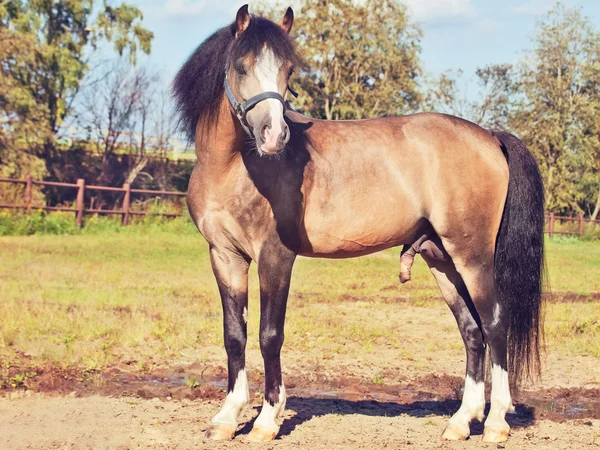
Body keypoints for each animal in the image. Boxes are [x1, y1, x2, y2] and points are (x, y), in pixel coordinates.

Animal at [172, 5, 544, 444]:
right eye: (241, 66)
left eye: (287, 71)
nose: (274, 136)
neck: (234, 167)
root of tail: (489, 136)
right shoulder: (225, 256)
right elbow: (234, 334)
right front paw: (227, 417)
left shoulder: (275, 257)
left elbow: (269, 335)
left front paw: (266, 420)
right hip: (442, 259)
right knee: (472, 331)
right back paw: (460, 422)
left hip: (472, 256)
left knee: (495, 324)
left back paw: (496, 422)